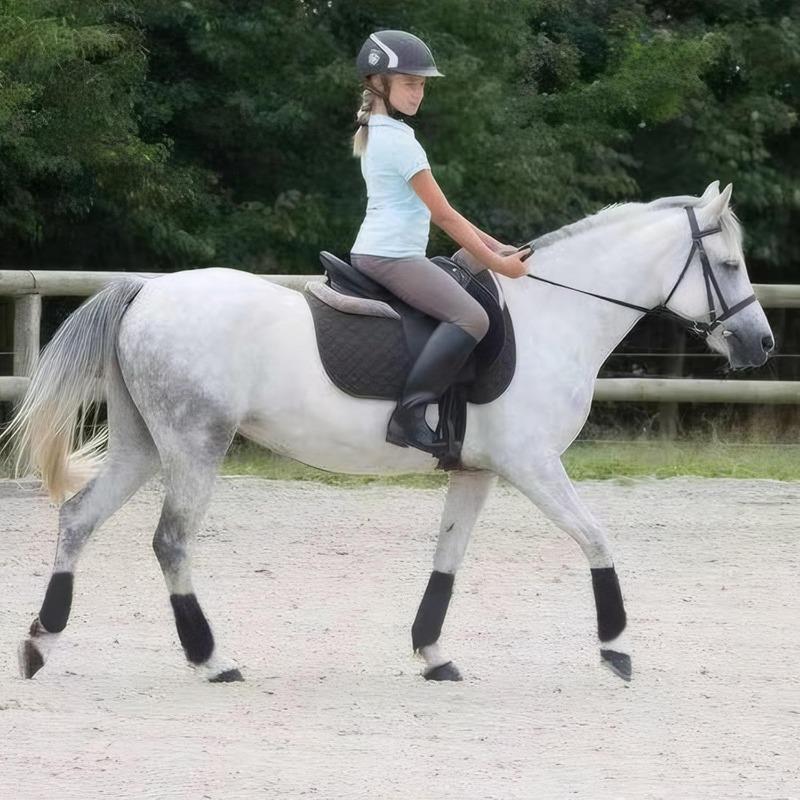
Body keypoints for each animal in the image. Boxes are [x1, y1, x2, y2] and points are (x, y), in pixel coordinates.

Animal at [3, 181, 773, 684]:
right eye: (729, 264)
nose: (760, 344)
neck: (555, 313)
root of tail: (147, 289)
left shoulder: (478, 469)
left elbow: (448, 558)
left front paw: (432, 653)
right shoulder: (531, 463)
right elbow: (596, 537)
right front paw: (615, 647)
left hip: (144, 445)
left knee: (79, 519)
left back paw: (42, 644)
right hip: (196, 444)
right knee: (170, 542)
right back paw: (210, 659)